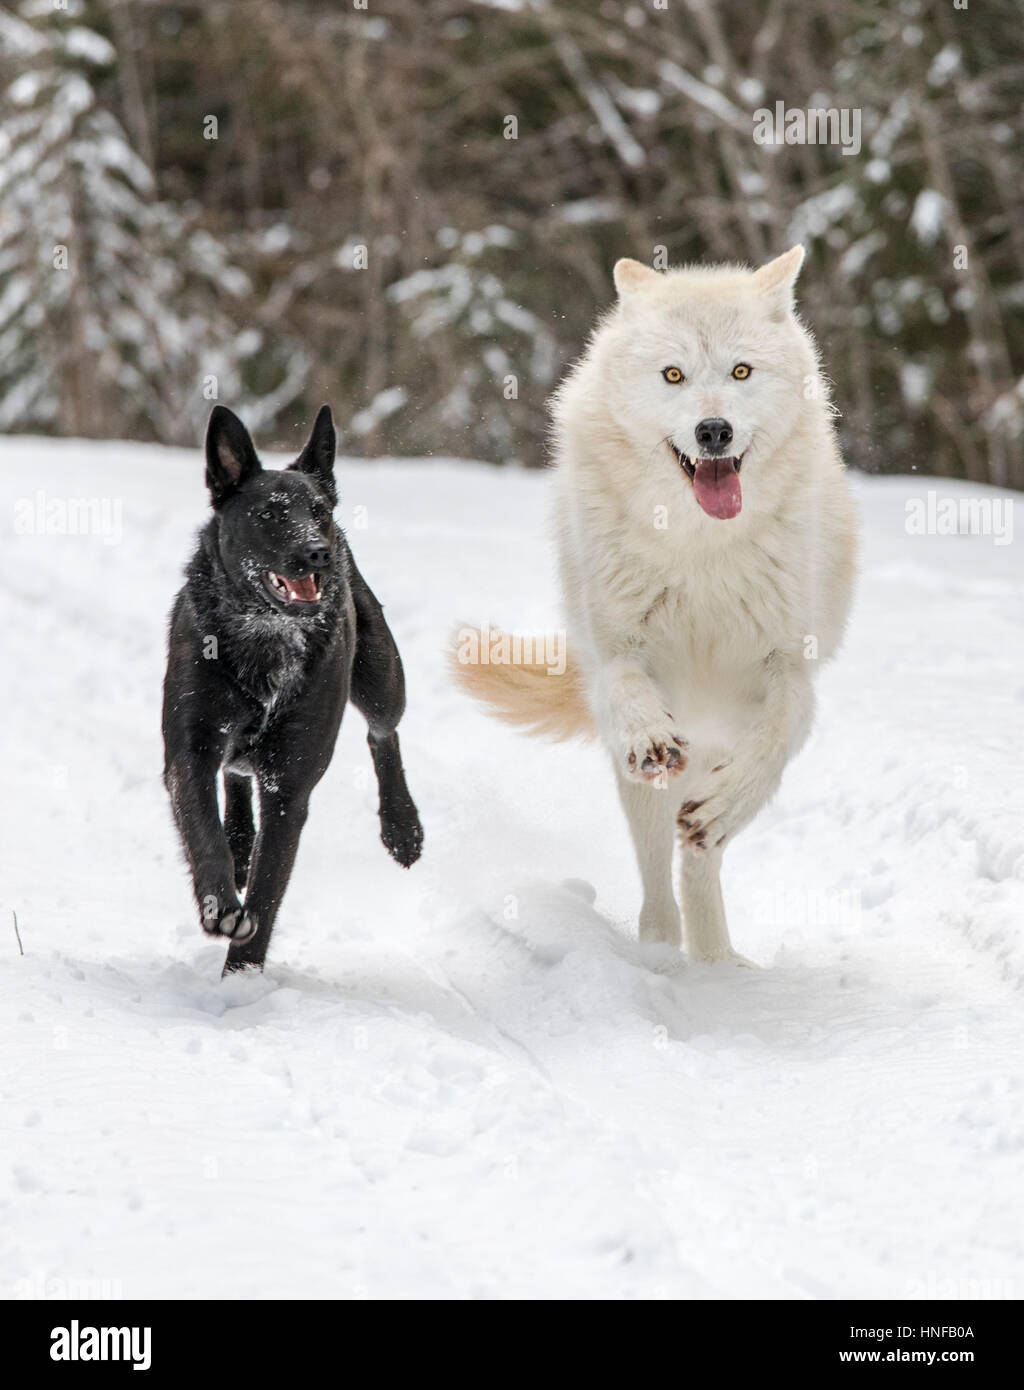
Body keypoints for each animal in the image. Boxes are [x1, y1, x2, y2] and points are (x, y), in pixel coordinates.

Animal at [163, 403, 419, 973]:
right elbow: (203, 829)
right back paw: (239, 845)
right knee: (235, 775)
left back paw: (402, 827)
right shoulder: (189, 750)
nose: (318, 551)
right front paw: (221, 904)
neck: (266, 636)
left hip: (381, 677)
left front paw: (242, 976)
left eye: (317, 509)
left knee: (383, 733)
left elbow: (269, 889)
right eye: (267, 515)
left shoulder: (290, 786)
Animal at [452, 250, 855, 961]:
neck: (701, 549)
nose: (714, 430)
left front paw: (727, 806)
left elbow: (776, 739)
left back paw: (719, 962)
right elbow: (627, 688)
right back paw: (662, 954)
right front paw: (647, 734)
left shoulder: (790, 667)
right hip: (651, 771)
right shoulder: (620, 649)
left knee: (698, 854)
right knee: (655, 864)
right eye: (673, 375)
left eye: (741, 371)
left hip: (718, 743)